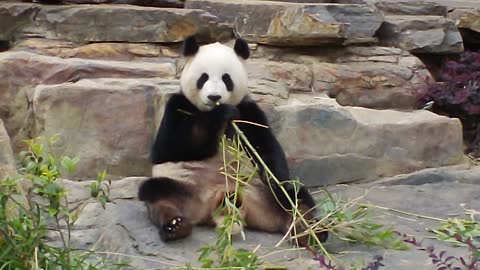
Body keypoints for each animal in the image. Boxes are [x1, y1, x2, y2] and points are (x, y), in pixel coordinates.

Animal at [138, 35, 326, 247]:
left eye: (226, 78)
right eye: (203, 77)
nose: (214, 97)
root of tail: (218, 204)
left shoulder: (248, 111)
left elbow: (266, 150)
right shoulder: (178, 105)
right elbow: (169, 148)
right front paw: (220, 114)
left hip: (257, 191)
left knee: (293, 196)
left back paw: (308, 229)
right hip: (184, 187)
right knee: (156, 193)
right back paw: (175, 226)